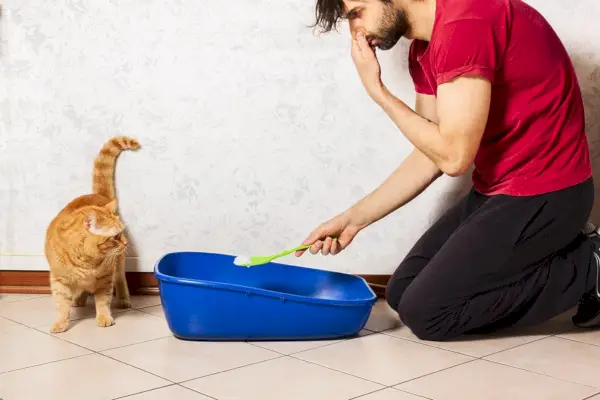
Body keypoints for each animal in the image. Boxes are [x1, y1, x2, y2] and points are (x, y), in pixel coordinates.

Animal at [45, 136, 140, 332]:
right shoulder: (59, 280)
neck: (86, 261)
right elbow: (61, 304)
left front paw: (104, 317)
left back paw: (123, 299)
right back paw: (79, 299)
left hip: (118, 264)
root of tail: (96, 194)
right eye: (116, 237)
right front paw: (61, 322)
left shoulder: (105, 278)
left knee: (121, 280)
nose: (125, 243)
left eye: (122, 233)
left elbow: (103, 301)